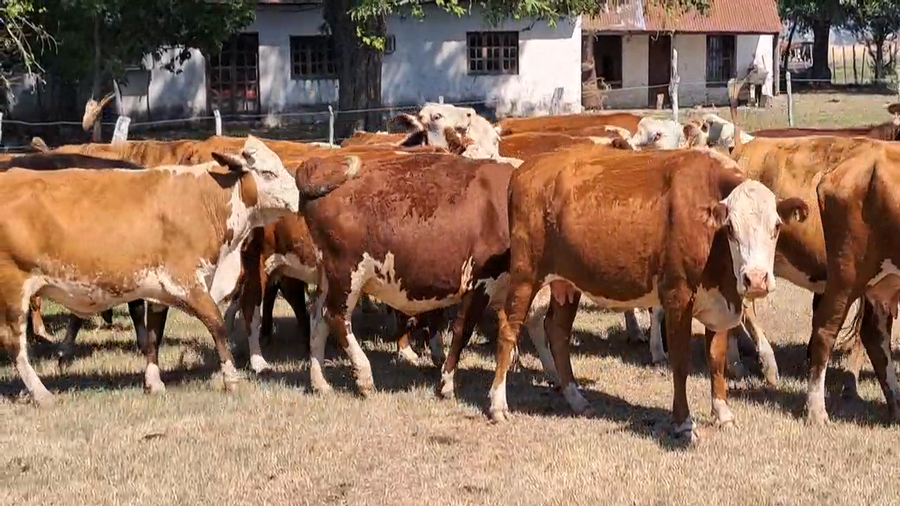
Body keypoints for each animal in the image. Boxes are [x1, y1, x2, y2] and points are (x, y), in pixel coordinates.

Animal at [0, 136, 324, 405]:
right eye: (268, 173)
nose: (300, 198)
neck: (204, 200)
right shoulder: (187, 282)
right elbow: (217, 324)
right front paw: (232, 379)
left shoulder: (158, 289)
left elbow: (155, 334)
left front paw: (153, 382)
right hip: (14, 290)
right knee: (15, 344)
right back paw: (41, 393)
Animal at [486, 144, 808, 444]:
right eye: (730, 227)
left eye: (776, 226)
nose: (755, 279)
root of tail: (527, 168)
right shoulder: (678, 296)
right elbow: (681, 362)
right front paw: (684, 422)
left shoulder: (720, 304)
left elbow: (717, 360)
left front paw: (723, 413)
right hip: (526, 274)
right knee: (509, 329)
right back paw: (498, 405)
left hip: (566, 282)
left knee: (558, 331)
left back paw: (576, 399)